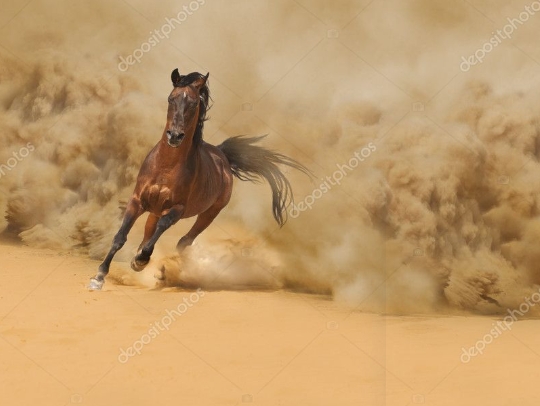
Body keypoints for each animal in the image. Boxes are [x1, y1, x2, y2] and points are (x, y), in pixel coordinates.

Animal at [87, 68, 310, 290]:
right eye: (171, 99)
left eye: (194, 103)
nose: (175, 136)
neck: (166, 167)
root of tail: (222, 155)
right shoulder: (137, 200)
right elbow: (120, 236)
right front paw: (99, 276)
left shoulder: (177, 209)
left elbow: (162, 229)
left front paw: (141, 261)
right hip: (156, 210)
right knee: (149, 235)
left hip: (209, 214)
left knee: (183, 241)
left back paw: (163, 269)